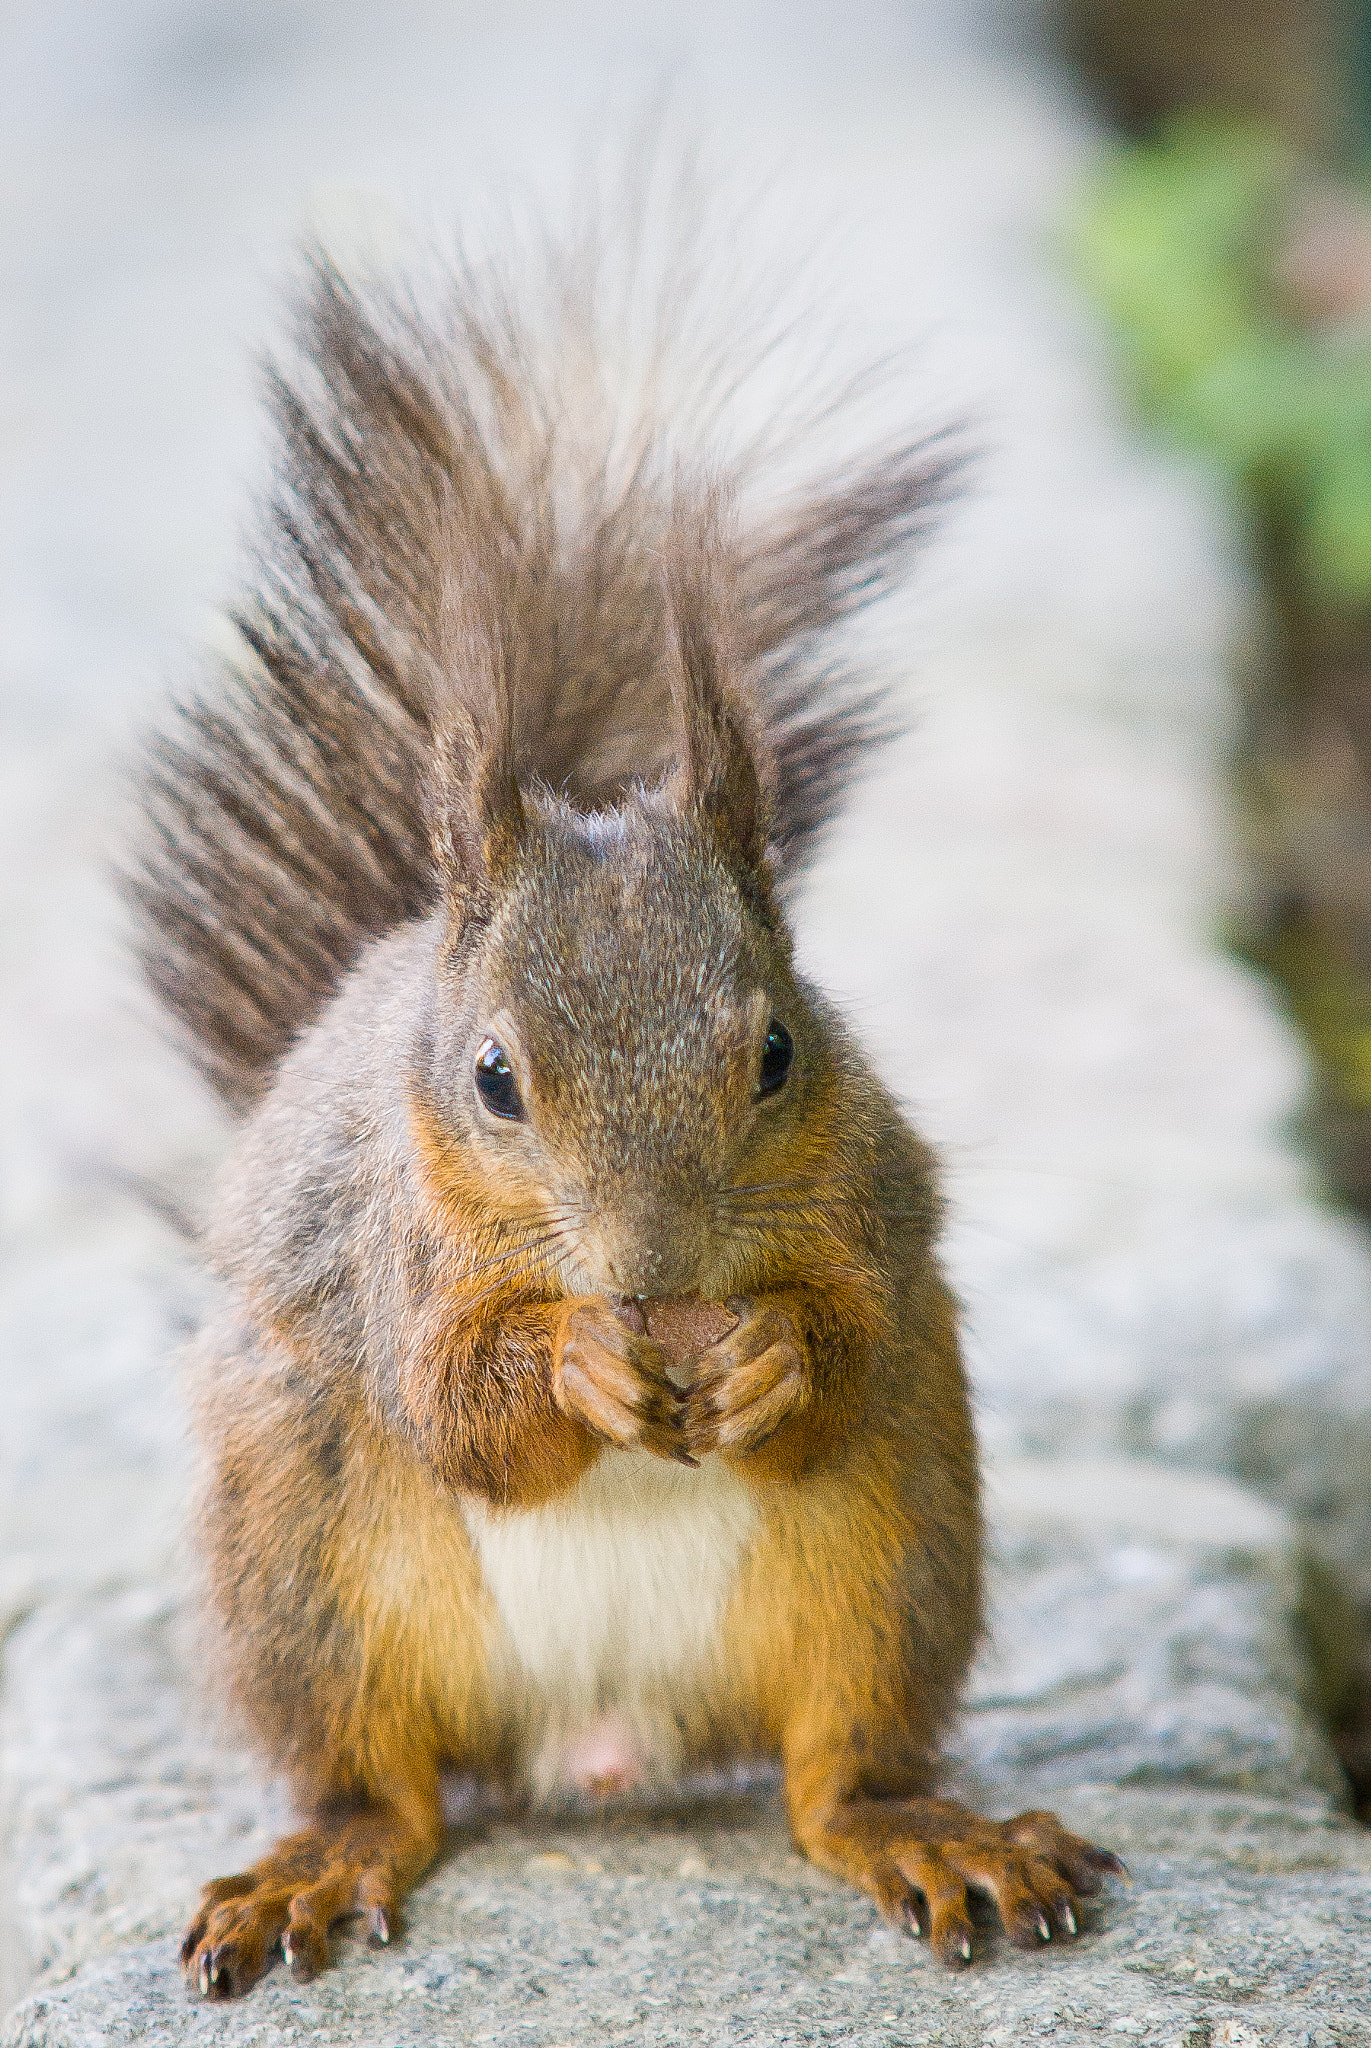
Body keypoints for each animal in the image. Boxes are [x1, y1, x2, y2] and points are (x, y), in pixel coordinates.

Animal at [128, 208, 1124, 2001]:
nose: (655, 1274)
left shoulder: (876, 1205)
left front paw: (772, 1353)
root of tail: (604, 1743)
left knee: (832, 1773)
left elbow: (849, 1337)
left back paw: (928, 1832)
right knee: (380, 1782)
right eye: (491, 1079)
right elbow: (455, 1403)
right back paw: (314, 1865)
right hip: (301, 1563)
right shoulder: (388, 1252)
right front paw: (575, 1360)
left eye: (780, 1052)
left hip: (889, 1555)